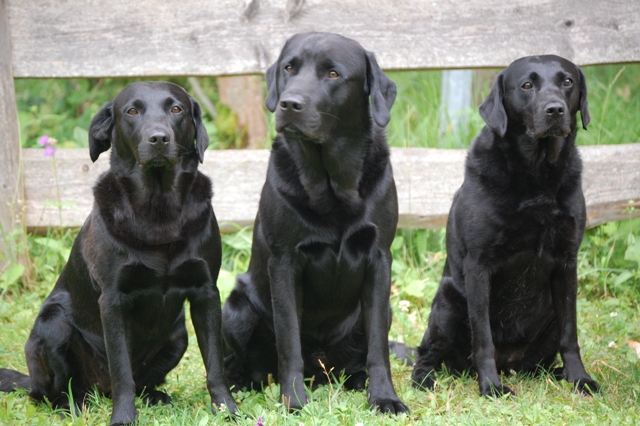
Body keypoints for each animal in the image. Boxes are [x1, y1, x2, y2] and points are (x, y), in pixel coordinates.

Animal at [0, 81, 238, 424]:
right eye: (132, 111)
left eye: (175, 109)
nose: (159, 138)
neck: (158, 211)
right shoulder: (112, 300)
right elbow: (122, 371)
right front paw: (124, 418)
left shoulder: (206, 292)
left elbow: (215, 363)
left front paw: (226, 409)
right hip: (52, 325)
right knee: (50, 393)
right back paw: (71, 405)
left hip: (178, 335)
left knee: (141, 381)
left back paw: (155, 396)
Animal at [220, 31, 410, 414]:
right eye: (289, 68)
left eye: (333, 74)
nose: (289, 104)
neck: (332, 184)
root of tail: (320, 370)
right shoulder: (284, 263)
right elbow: (289, 342)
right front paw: (293, 400)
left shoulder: (380, 259)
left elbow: (378, 348)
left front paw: (385, 396)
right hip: (235, 308)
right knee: (241, 361)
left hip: (383, 312)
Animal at [410, 55, 600, 396]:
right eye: (526, 85)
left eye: (567, 82)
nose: (555, 109)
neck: (536, 176)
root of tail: (509, 363)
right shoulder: (478, 265)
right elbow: (483, 337)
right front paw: (491, 387)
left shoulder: (567, 263)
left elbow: (571, 335)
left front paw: (580, 378)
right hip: (447, 304)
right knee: (426, 355)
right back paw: (426, 379)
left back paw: (556, 373)